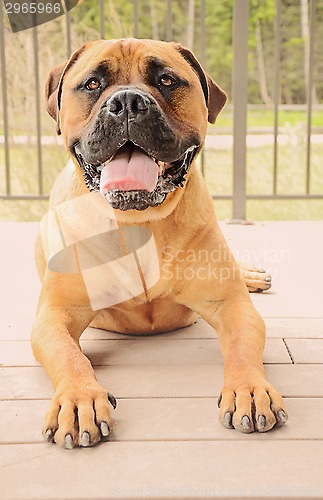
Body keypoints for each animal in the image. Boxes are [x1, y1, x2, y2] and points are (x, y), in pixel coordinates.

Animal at [31, 37, 288, 448]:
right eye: (92, 84)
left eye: (167, 80)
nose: (127, 102)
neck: (139, 223)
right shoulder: (55, 316)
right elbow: (70, 355)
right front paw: (79, 399)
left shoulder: (233, 307)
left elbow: (242, 348)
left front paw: (249, 388)